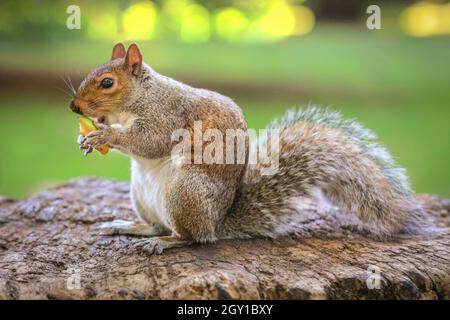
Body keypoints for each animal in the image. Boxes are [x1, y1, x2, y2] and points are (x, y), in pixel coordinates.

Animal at [69, 42, 432, 254]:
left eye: (107, 83)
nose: (74, 107)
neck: (142, 96)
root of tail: (218, 222)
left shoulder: (167, 114)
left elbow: (149, 140)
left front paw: (104, 136)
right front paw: (87, 137)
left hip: (186, 192)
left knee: (192, 237)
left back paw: (166, 242)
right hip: (141, 196)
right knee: (157, 224)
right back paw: (130, 226)